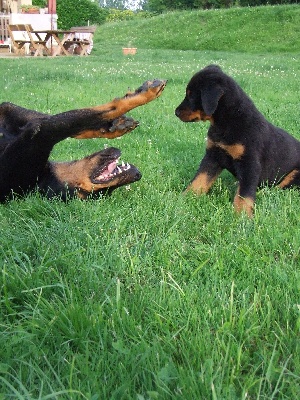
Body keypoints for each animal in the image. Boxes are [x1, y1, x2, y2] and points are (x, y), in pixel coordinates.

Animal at [0, 79, 166, 202]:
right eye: (87, 193)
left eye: (106, 194)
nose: (137, 175)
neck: (43, 175)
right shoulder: (39, 135)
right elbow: (82, 118)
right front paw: (146, 93)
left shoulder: (12, 112)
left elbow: (74, 125)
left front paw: (113, 126)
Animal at [175, 64, 298, 217]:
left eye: (191, 95)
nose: (176, 112)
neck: (225, 123)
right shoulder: (213, 156)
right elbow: (199, 179)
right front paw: (184, 199)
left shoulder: (249, 163)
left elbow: (244, 194)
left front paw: (242, 215)